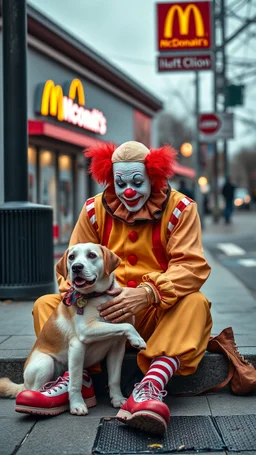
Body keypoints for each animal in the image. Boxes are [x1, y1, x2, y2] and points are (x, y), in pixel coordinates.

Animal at [0, 244, 146, 416]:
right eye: (71, 257)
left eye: (91, 255)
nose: (76, 267)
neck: (99, 296)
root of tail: (23, 383)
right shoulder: (82, 337)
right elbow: (75, 382)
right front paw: (77, 405)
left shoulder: (117, 347)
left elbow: (114, 378)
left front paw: (117, 399)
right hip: (46, 363)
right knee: (35, 389)